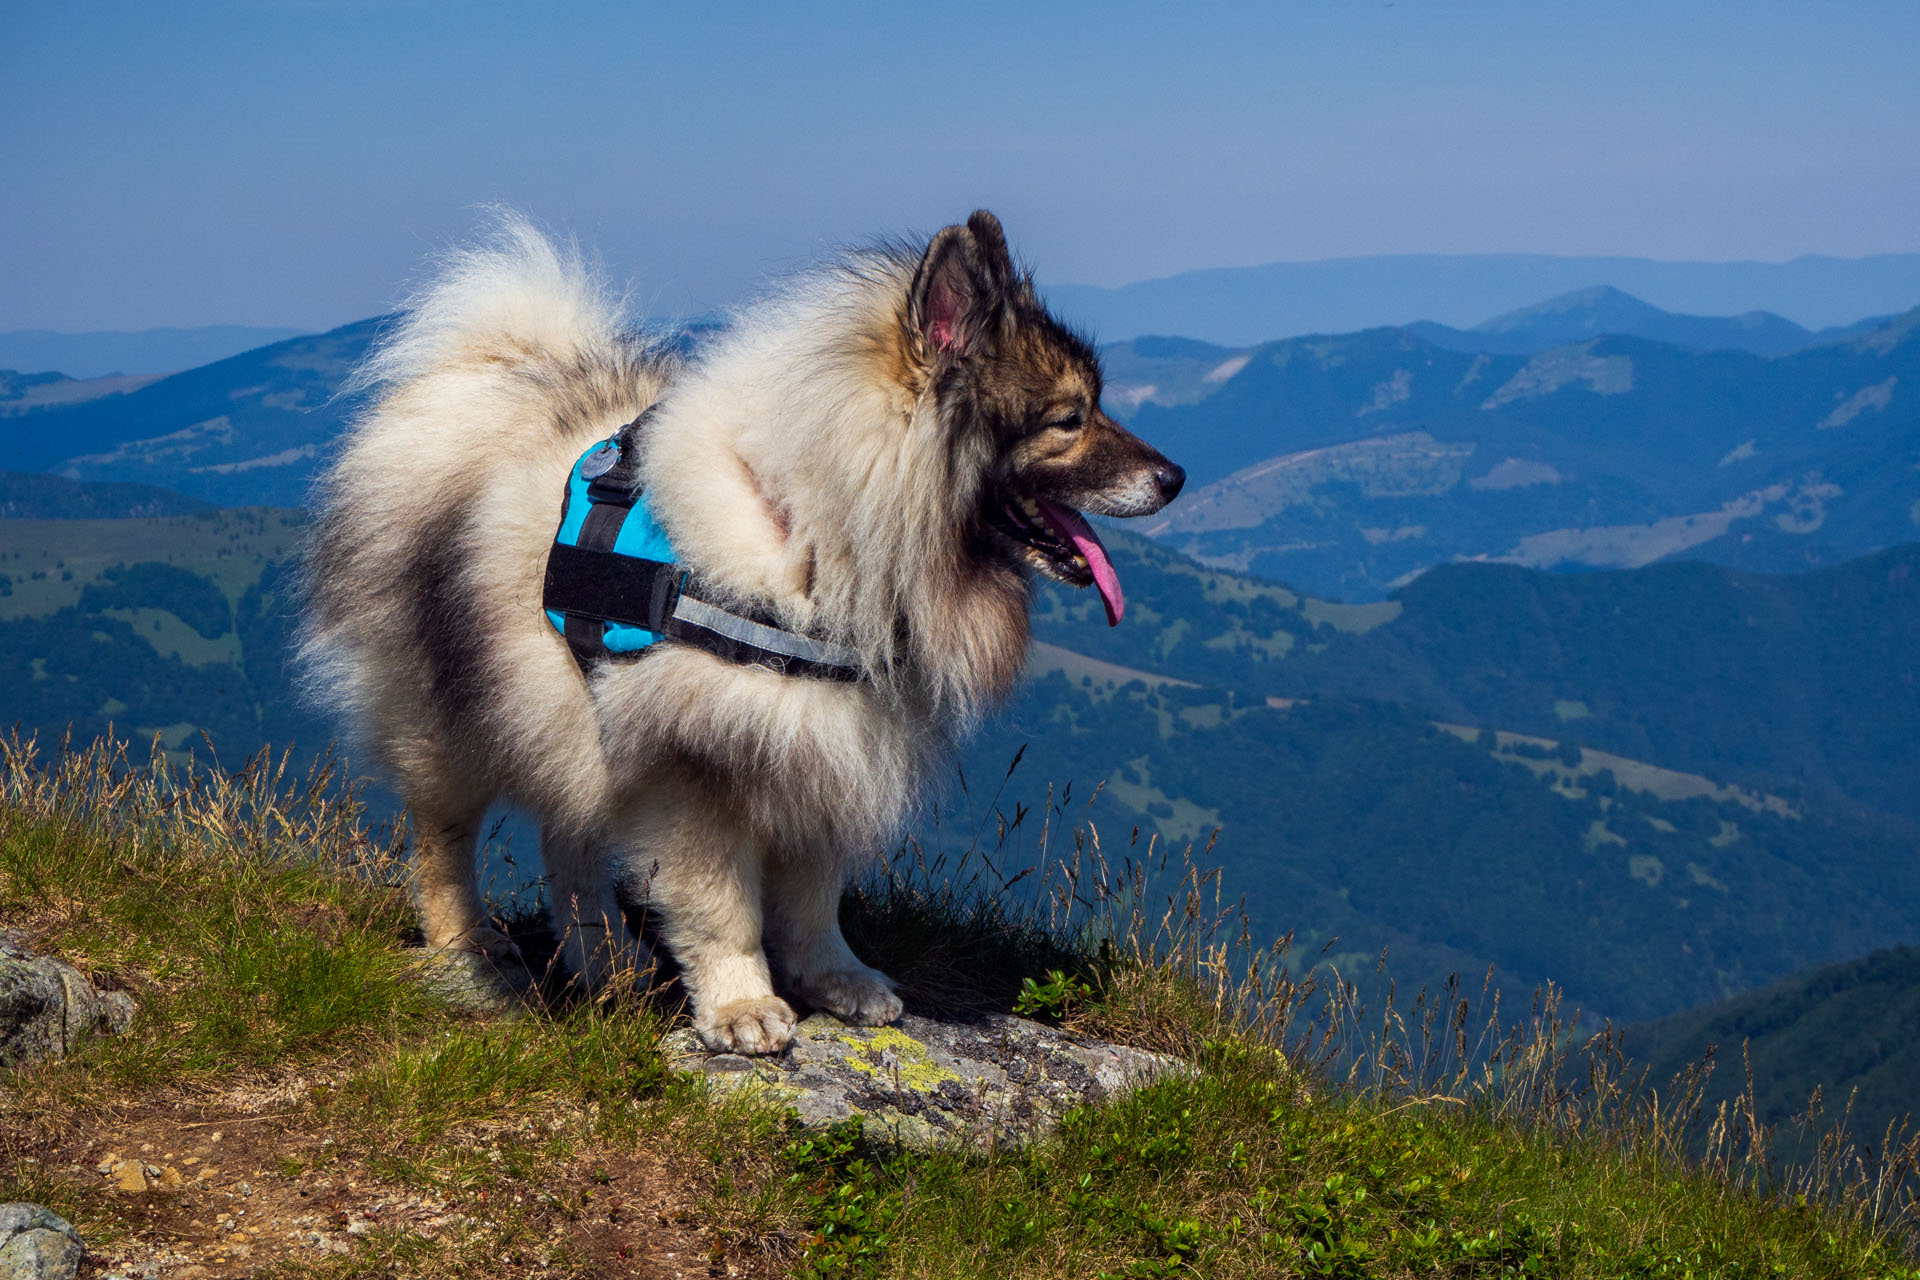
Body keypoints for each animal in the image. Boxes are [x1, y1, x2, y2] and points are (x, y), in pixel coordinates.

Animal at [299, 208, 1182, 1051]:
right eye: (1069, 419)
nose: (1175, 478)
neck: (815, 534)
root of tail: (484, 367)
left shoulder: (823, 742)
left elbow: (813, 897)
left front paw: (835, 979)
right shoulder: (694, 769)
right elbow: (723, 906)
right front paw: (743, 1006)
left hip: (560, 718)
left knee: (568, 839)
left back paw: (606, 959)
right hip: (443, 706)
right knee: (444, 833)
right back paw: (469, 941)